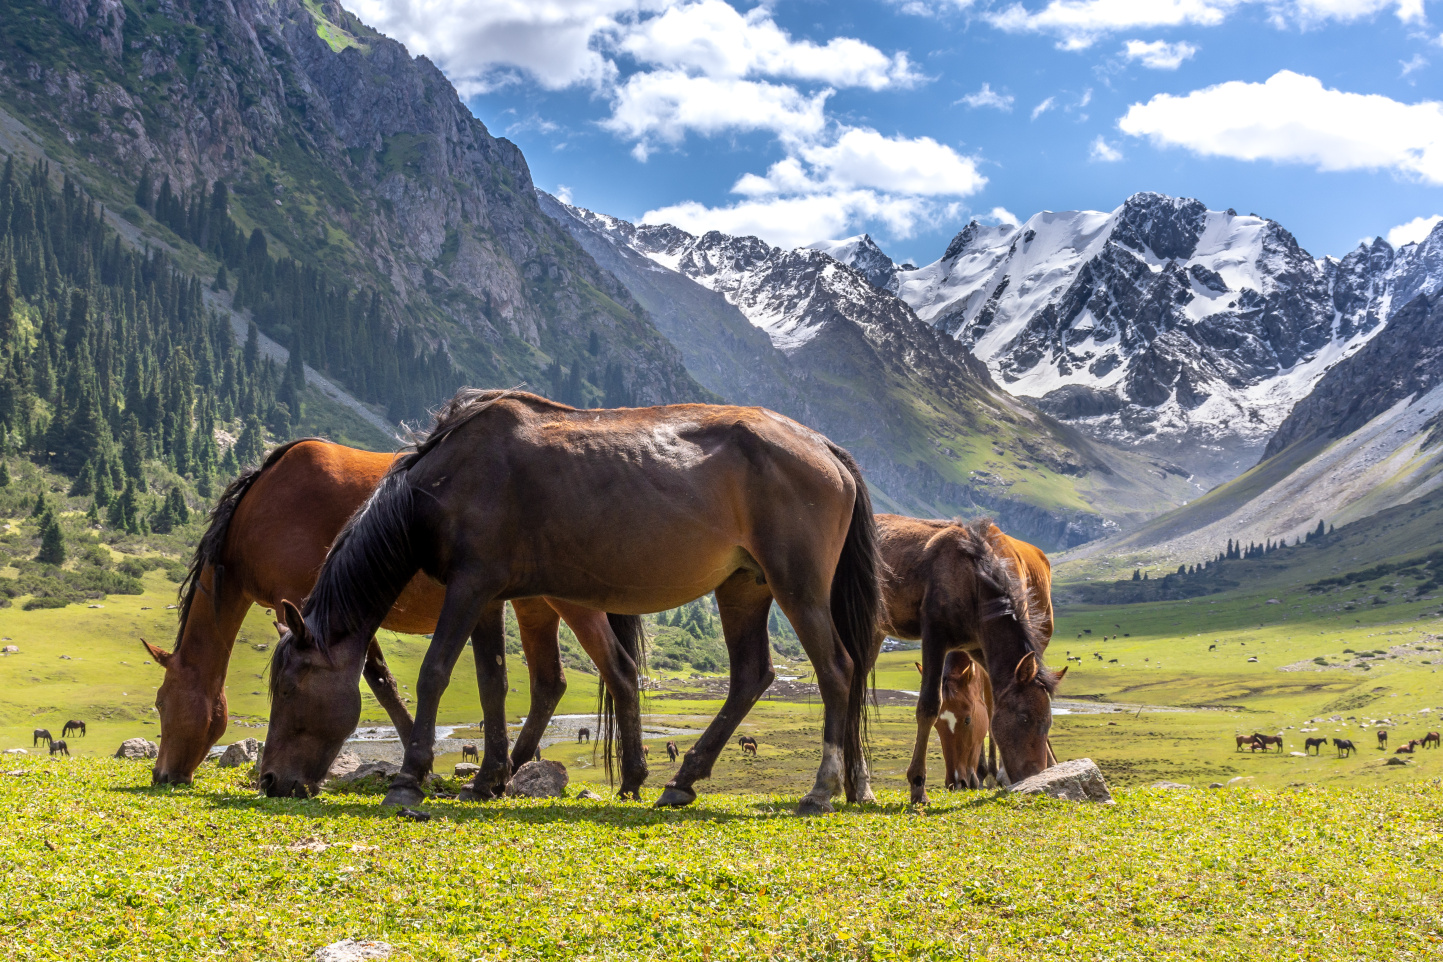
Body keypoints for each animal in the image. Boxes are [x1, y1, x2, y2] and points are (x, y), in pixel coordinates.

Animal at [145, 438, 643, 796]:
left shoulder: (320, 608)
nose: (161, 775)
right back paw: (507, 770)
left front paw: (420, 767)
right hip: (534, 606)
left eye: (160, 703)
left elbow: (379, 680)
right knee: (549, 684)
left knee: (605, 673)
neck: (262, 510)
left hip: (569, 603)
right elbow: (381, 679)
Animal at [256, 389, 877, 813]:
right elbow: (492, 683)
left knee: (836, 670)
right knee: (751, 676)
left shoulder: (470, 587)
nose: (269, 781)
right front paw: (486, 780)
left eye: (288, 689)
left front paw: (410, 780)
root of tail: (823, 446)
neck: (443, 481)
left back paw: (821, 788)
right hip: (743, 587)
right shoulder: (486, 597)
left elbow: (434, 673)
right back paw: (682, 780)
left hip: (796, 586)